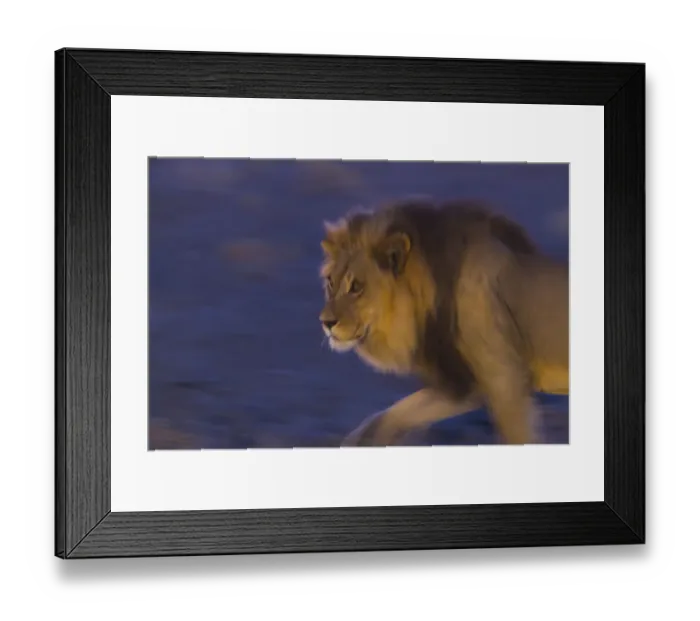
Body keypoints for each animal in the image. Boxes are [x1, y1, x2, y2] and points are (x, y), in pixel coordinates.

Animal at [318, 199, 569, 446]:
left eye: (356, 286)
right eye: (331, 282)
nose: (325, 322)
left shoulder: (506, 381)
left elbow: (519, 437)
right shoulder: (461, 382)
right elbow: (390, 416)